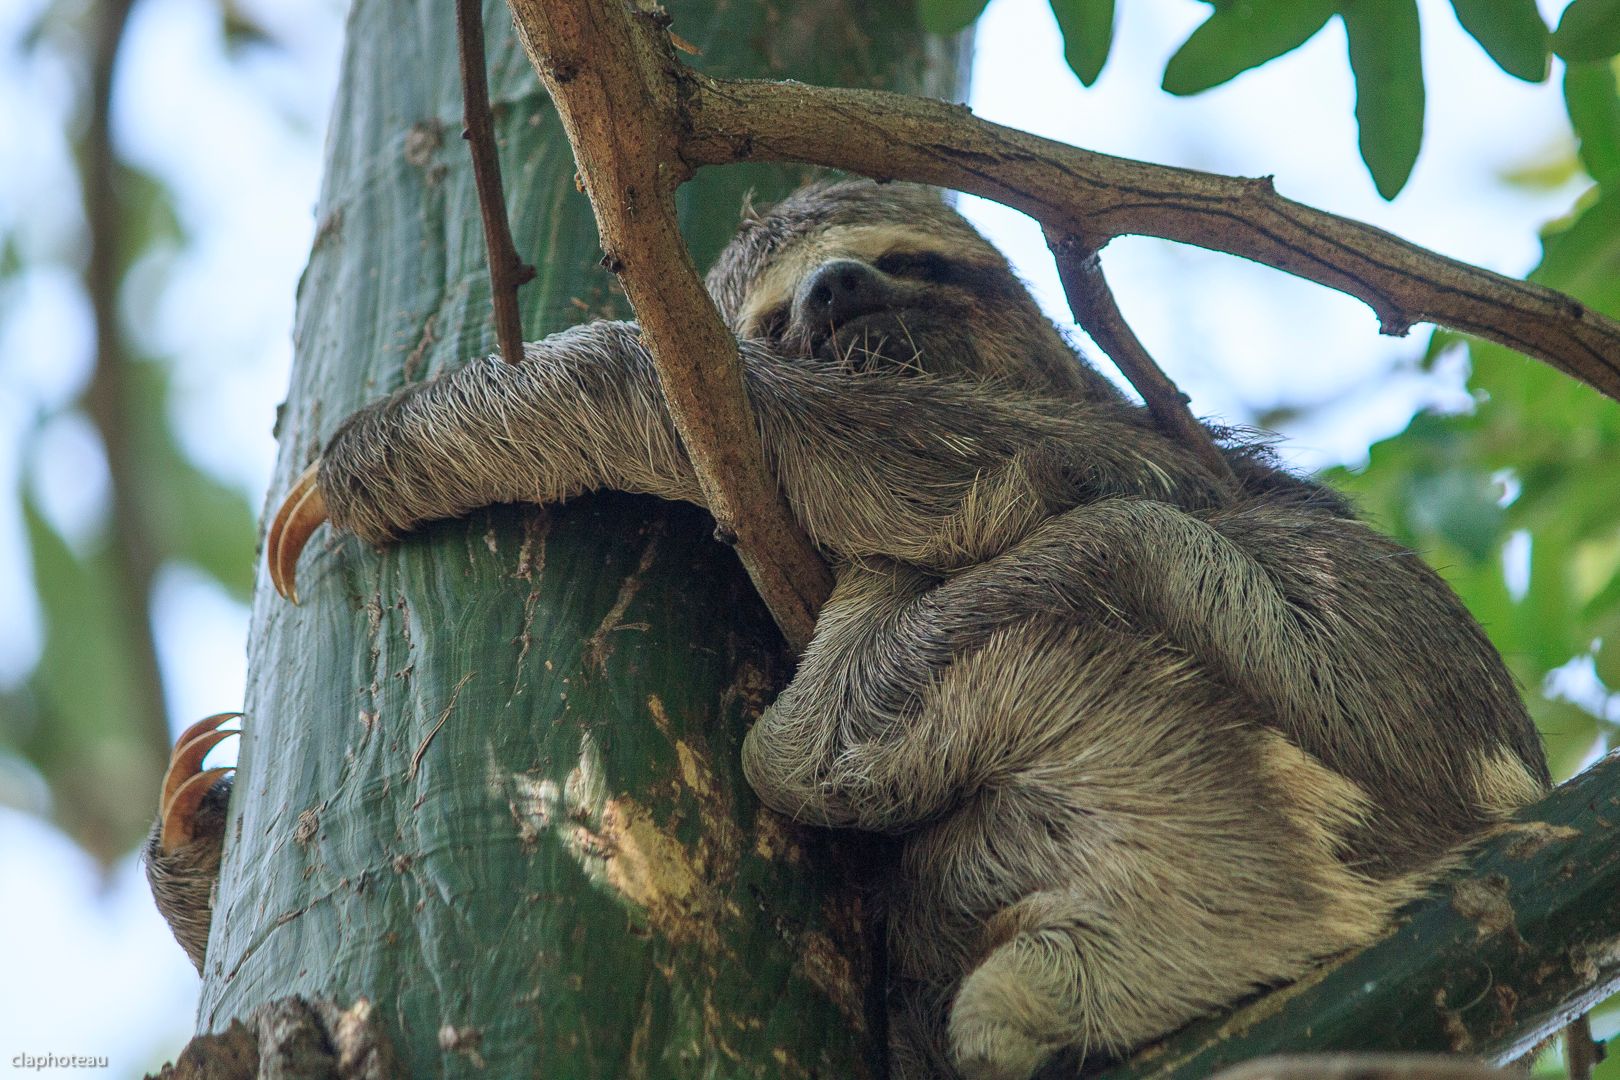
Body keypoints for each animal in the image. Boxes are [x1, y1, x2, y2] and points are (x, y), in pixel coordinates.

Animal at [152, 180, 1548, 1079]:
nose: (834, 286)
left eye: (911, 261)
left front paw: (387, 450)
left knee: (1098, 575)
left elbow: (903, 456)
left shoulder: (1103, 441)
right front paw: (203, 835)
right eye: (779, 313)